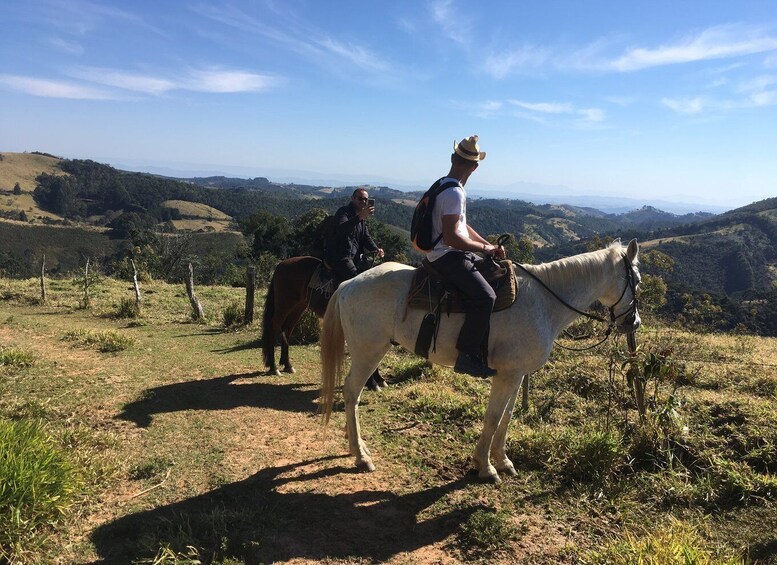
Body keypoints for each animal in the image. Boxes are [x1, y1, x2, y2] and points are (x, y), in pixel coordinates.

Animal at [260, 256, 384, 388]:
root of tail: (280, 265)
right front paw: (372, 382)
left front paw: (379, 379)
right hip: (284, 306)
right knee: (274, 327)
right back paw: (274, 367)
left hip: (298, 307)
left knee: (286, 331)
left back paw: (287, 365)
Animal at [318, 238, 640, 480]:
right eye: (635, 280)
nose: (634, 322)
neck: (545, 302)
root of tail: (348, 284)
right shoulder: (506, 375)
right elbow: (494, 417)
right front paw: (485, 466)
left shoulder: (515, 374)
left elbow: (507, 416)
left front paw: (503, 460)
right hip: (368, 351)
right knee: (351, 392)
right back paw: (360, 455)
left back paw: (355, 446)